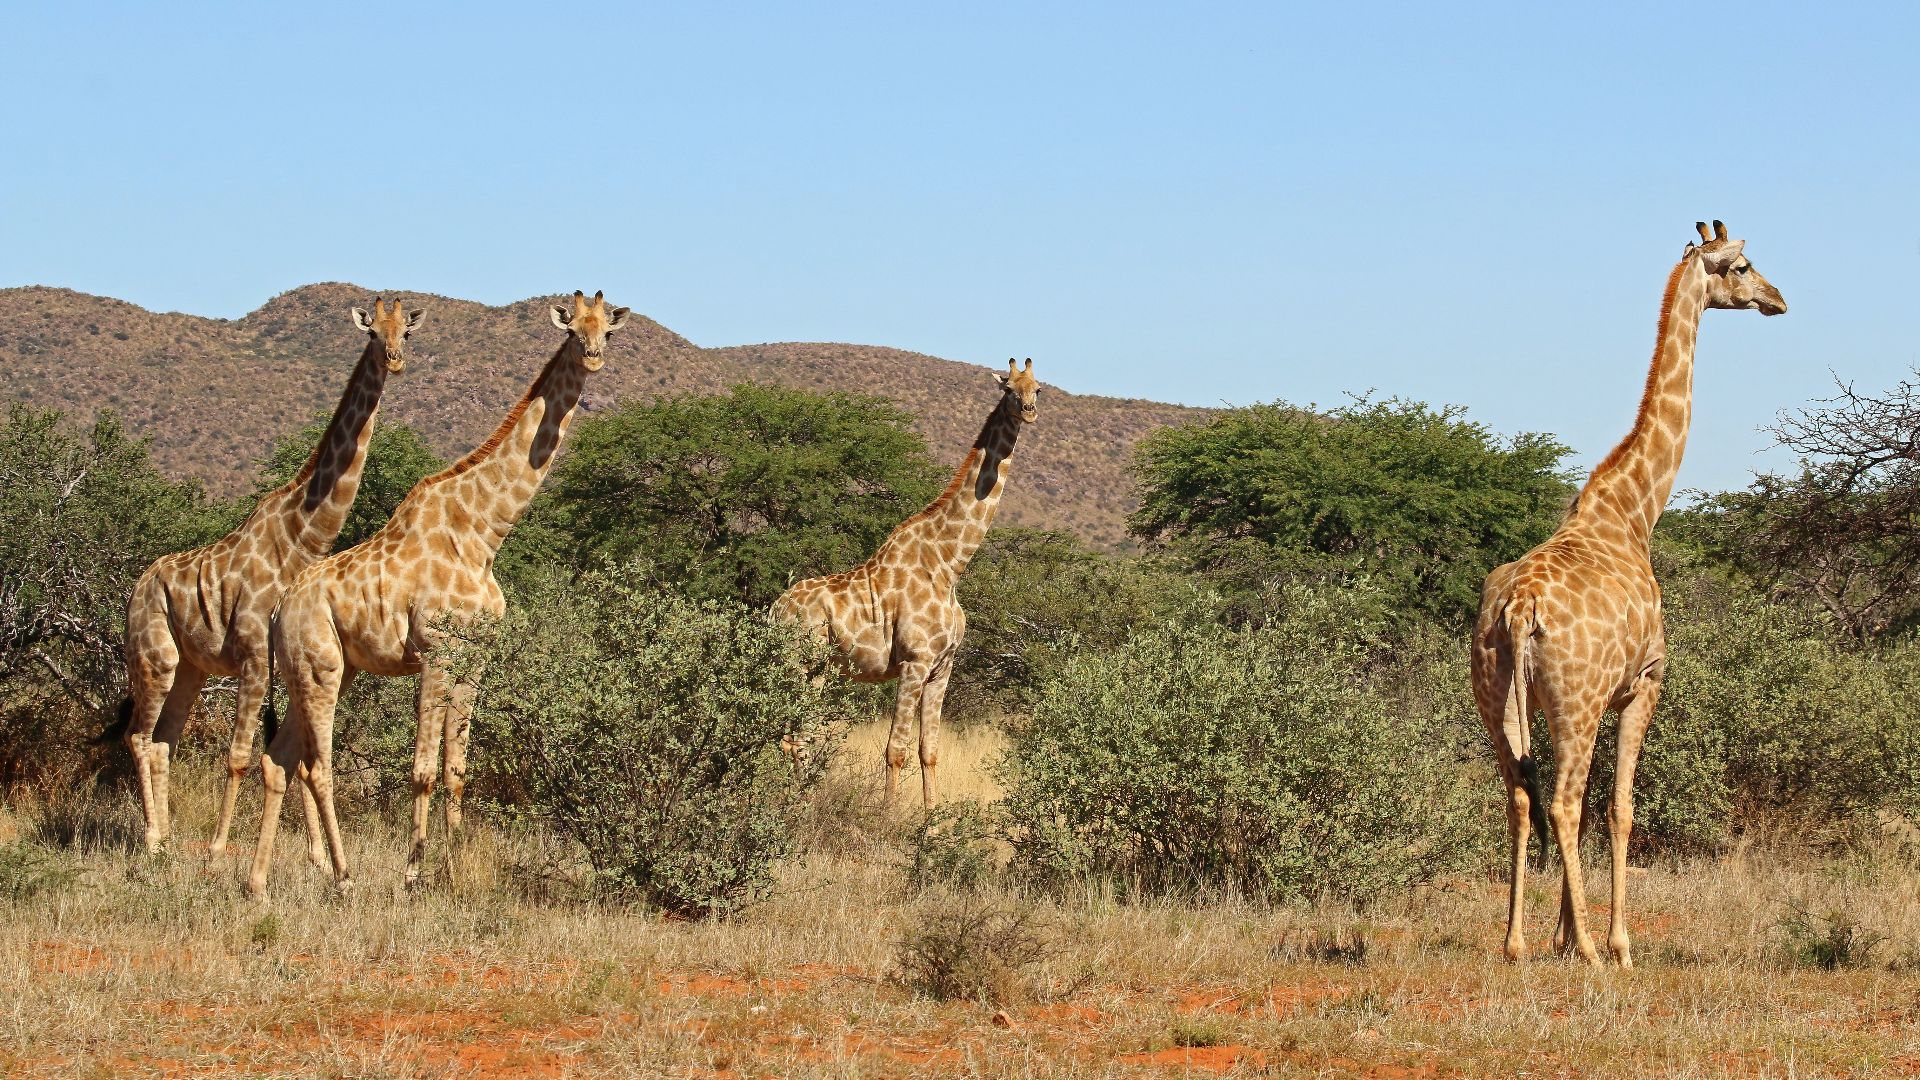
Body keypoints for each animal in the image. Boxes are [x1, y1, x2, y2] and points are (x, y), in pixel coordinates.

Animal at [120, 298, 421, 858]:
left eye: (406, 334)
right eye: (372, 333)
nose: (394, 360)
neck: (300, 540)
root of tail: (138, 585)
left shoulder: (288, 659)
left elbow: (295, 757)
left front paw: (319, 860)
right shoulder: (255, 654)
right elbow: (242, 755)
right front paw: (219, 852)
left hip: (191, 668)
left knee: (164, 740)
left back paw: (167, 839)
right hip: (155, 658)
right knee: (138, 736)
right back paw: (151, 839)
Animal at [245, 291, 625, 899]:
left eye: (606, 330)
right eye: (573, 330)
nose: (593, 357)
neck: (484, 533)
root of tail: (280, 606)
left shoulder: (475, 659)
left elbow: (456, 769)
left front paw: (455, 866)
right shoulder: (435, 653)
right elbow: (422, 769)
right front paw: (412, 873)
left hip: (328, 669)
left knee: (279, 759)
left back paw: (257, 882)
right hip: (319, 666)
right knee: (317, 764)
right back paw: (343, 876)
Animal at [773, 358, 1040, 807]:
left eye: (1039, 388)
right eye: (1007, 388)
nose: (1028, 410)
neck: (949, 564)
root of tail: (774, 611)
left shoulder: (942, 666)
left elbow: (928, 750)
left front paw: (933, 823)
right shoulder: (914, 662)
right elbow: (895, 750)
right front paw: (888, 815)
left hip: (812, 670)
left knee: (794, 735)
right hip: (801, 663)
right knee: (792, 737)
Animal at [1471, 221, 1786, 967]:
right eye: (1743, 266)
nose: (1778, 299)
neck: (1635, 510)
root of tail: (1517, 610)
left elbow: (1589, 809)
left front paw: (1559, 933)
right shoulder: (1644, 684)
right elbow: (1618, 808)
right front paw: (1612, 941)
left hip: (1497, 698)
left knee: (1521, 797)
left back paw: (1515, 943)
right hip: (1577, 699)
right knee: (1560, 801)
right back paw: (1593, 951)